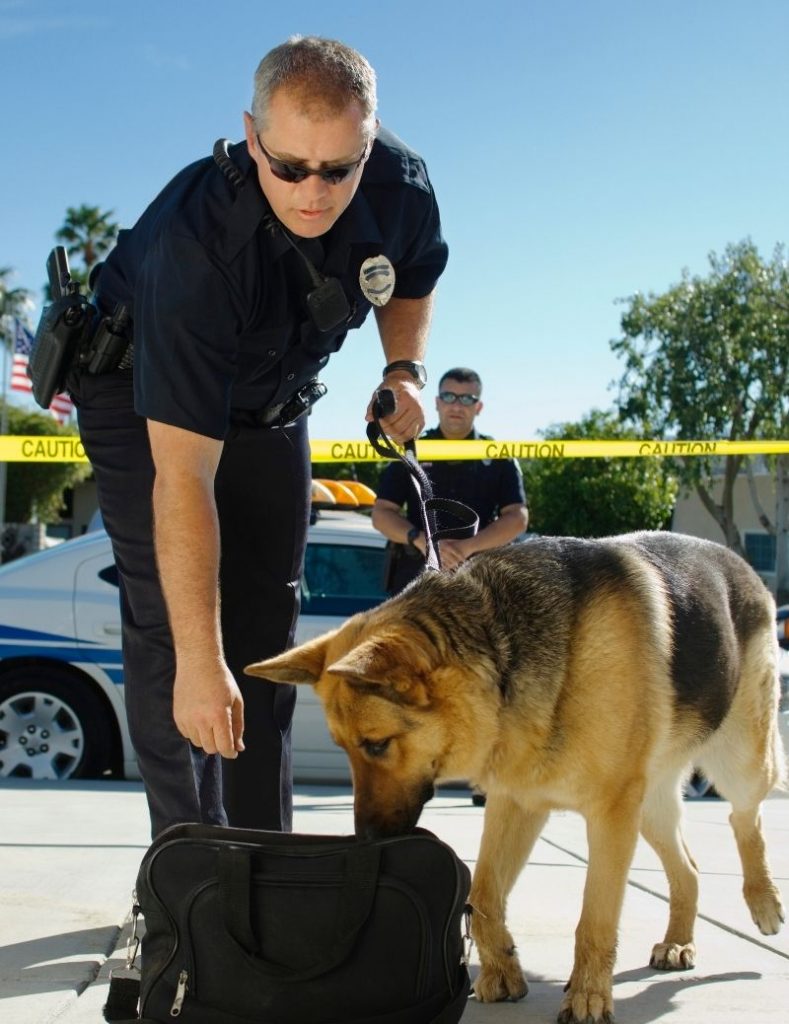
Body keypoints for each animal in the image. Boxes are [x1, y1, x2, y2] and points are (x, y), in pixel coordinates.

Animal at [245, 532, 781, 1019]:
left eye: (377, 745)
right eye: (344, 749)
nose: (367, 839)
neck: (505, 652)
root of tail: (741, 562)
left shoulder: (609, 816)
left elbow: (595, 919)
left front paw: (588, 996)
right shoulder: (518, 802)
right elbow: (483, 893)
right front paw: (502, 970)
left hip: (736, 762)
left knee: (746, 816)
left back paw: (763, 901)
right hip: (649, 807)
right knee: (688, 868)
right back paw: (678, 942)